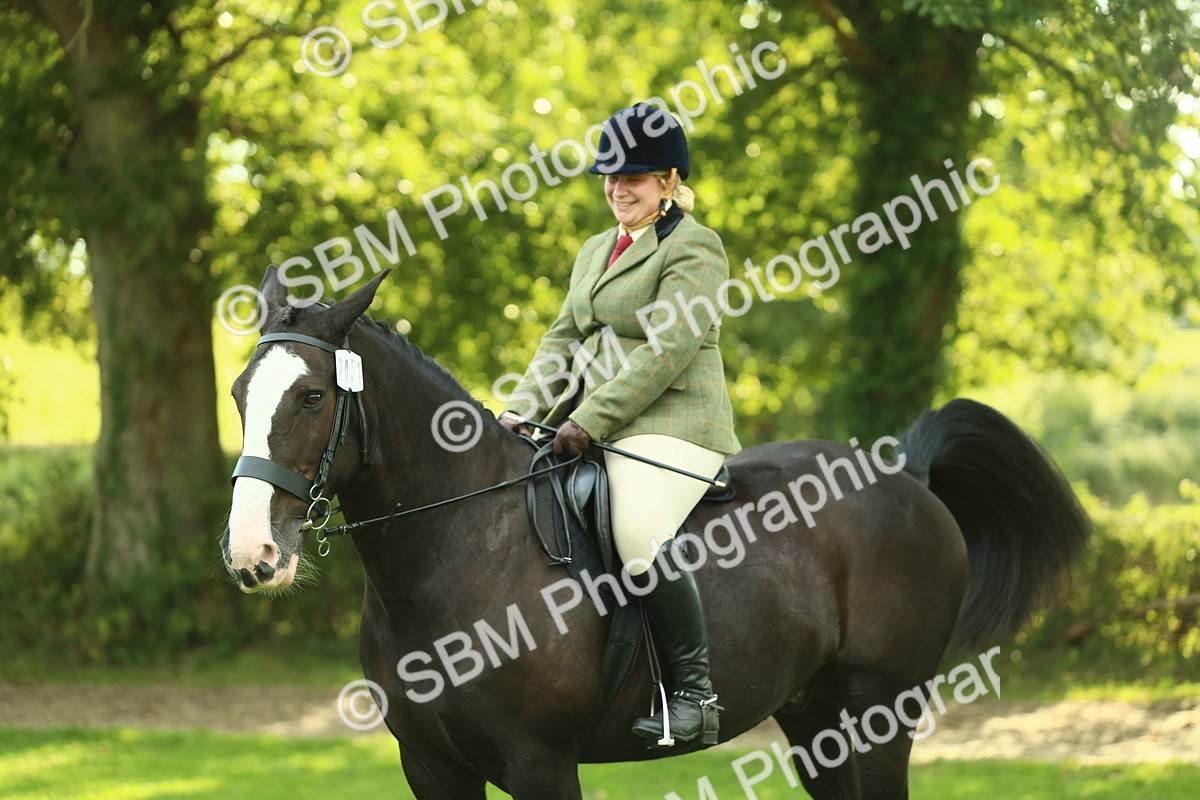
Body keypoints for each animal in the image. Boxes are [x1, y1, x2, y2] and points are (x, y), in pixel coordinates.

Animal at [221, 267, 1090, 799]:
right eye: (238, 393)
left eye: (309, 397)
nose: (251, 555)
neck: (457, 549)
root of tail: (905, 472)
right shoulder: (431, 766)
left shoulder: (540, 764)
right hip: (817, 719)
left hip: (880, 712)